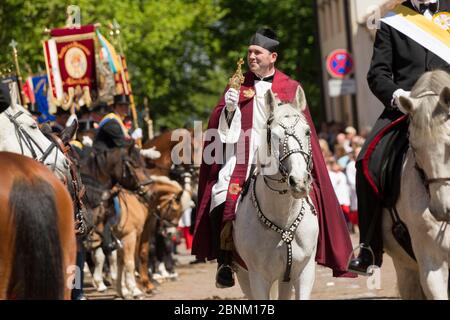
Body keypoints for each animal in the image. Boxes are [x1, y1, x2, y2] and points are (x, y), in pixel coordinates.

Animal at [234, 87, 318, 300]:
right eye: (274, 135)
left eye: (307, 132)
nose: (299, 182)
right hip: (244, 276)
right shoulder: (258, 278)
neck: (283, 218)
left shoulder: (304, 272)